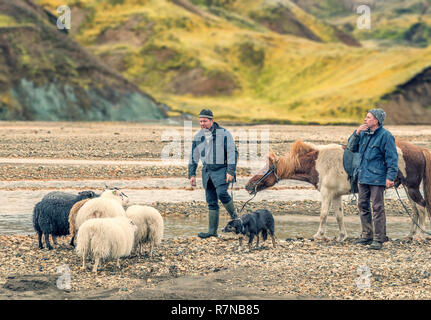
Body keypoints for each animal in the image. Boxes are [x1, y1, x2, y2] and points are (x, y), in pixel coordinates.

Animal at [245, 139, 431, 241]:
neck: (318, 163)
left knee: (422, 208)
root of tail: (420, 150)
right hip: (407, 189)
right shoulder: (336, 195)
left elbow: (323, 215)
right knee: (415, 211)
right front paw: (342, 236)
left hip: (412, 188)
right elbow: (339, 216)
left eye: (265, 169)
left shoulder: (326, 194)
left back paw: (420, 235)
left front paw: (319, 235)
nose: (248, 186)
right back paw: (410, 235)